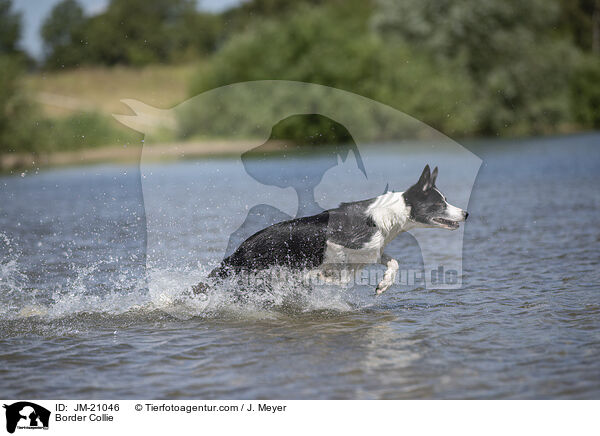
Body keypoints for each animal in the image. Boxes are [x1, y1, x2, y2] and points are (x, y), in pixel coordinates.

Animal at [206, 165, 468, 294]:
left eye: (446, 200)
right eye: (440, 204)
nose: (466, 214)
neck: (391, 217)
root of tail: (240, 248)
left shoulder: (372, 251)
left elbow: (393, 263)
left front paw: (383, 285)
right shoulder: (338, 245)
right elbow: (338, 276)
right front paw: (319, 277)